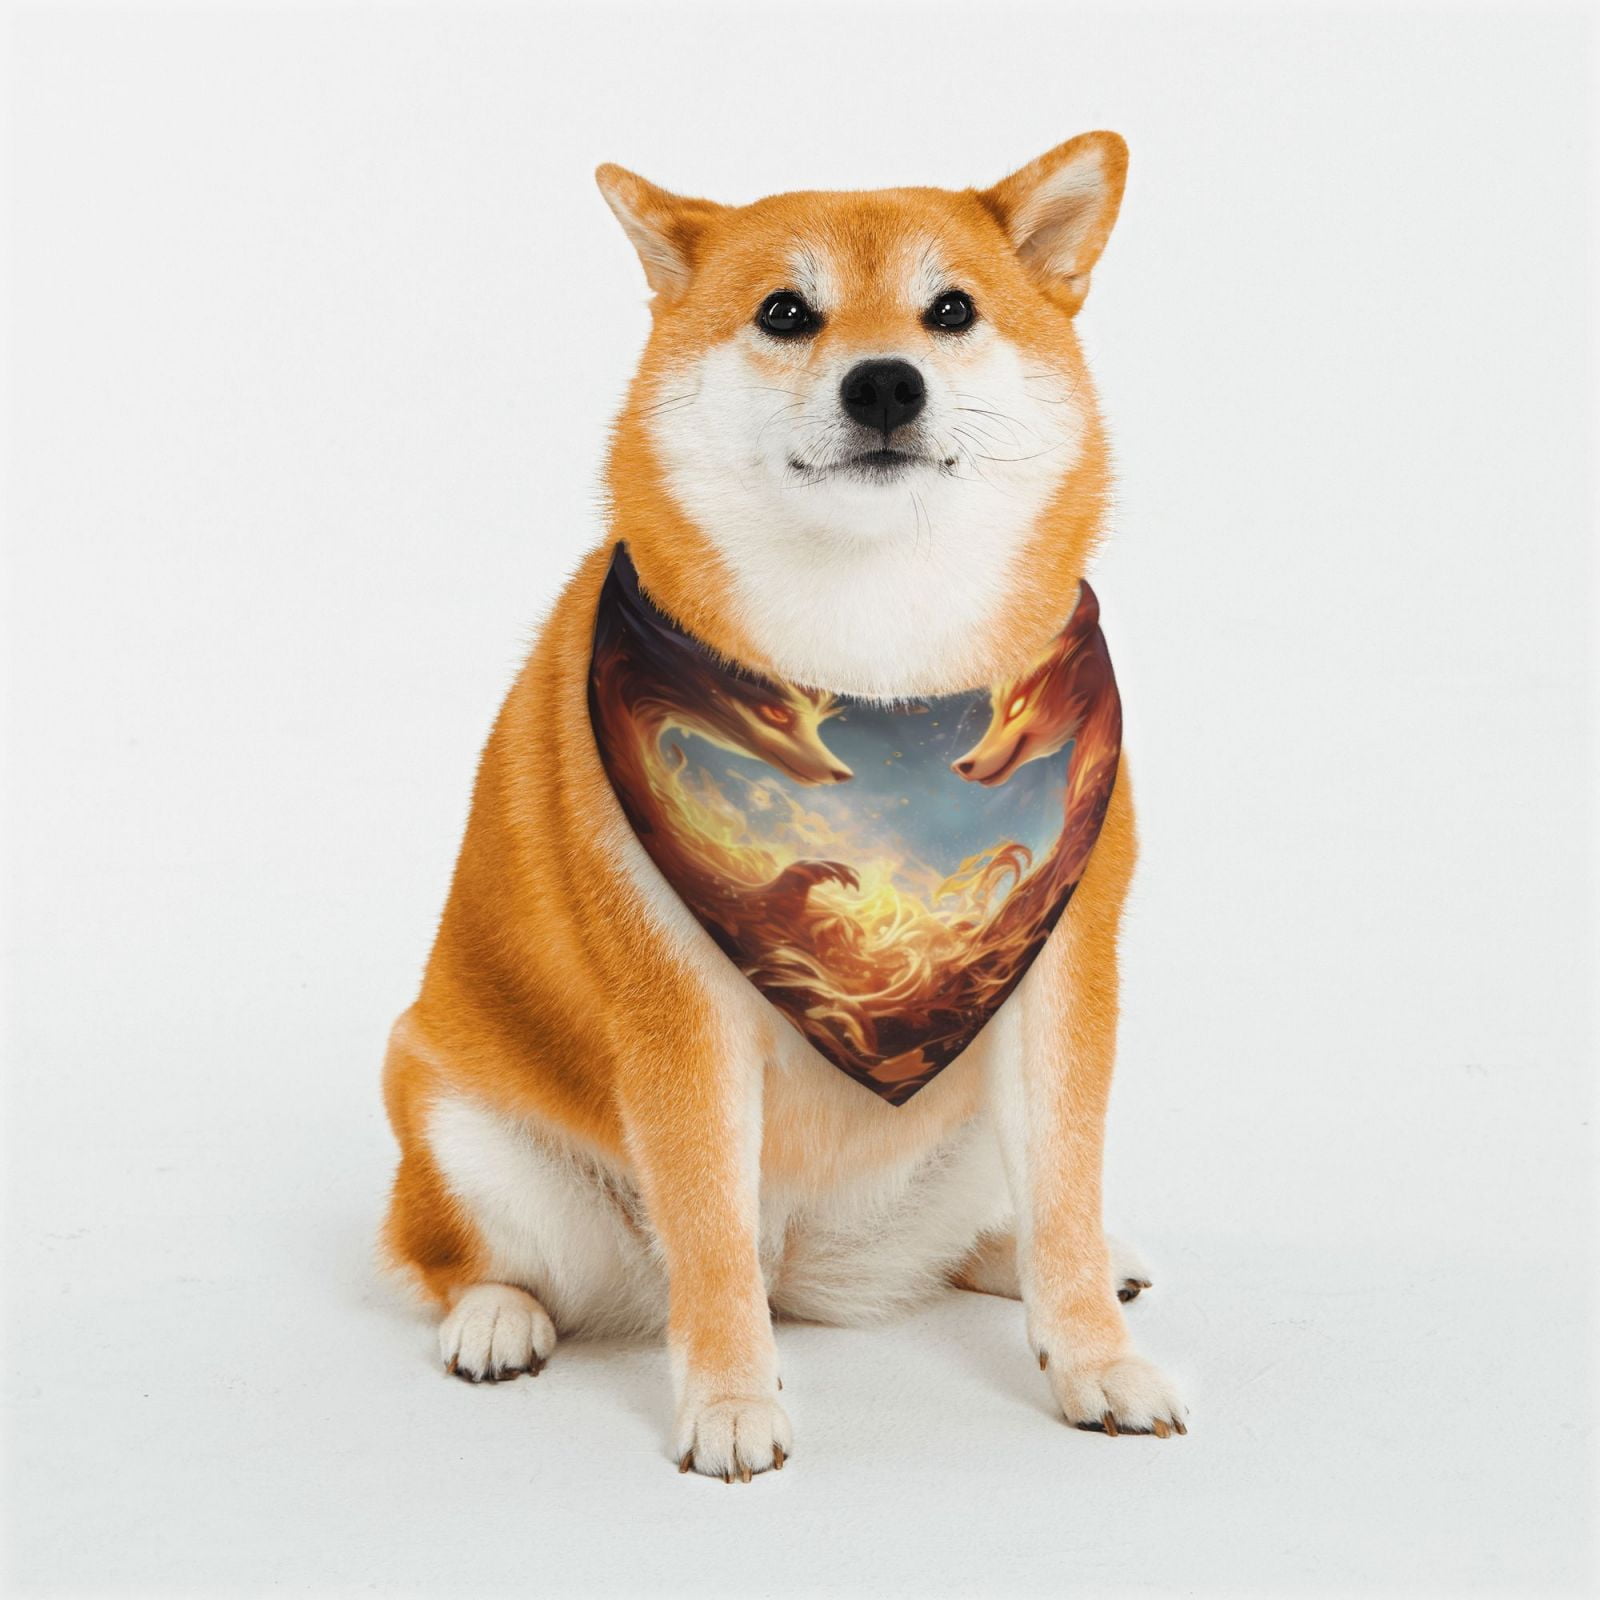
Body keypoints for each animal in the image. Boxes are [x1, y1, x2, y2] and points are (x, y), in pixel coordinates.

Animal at [380, 131, 1187, 1481]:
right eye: (784, 313)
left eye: (950, 310)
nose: (885, 384)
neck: (875, 668)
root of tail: (804, 1267)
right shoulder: (682, 1009)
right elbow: (706, 1231)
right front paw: (728, 1398)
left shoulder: (1059, 966)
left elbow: (1065, 1199)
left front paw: (1094, 1358)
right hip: (461, 1127)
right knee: (458, 1254)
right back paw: (498, 1317)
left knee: (1003, 1224)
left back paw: (1031, 1266)